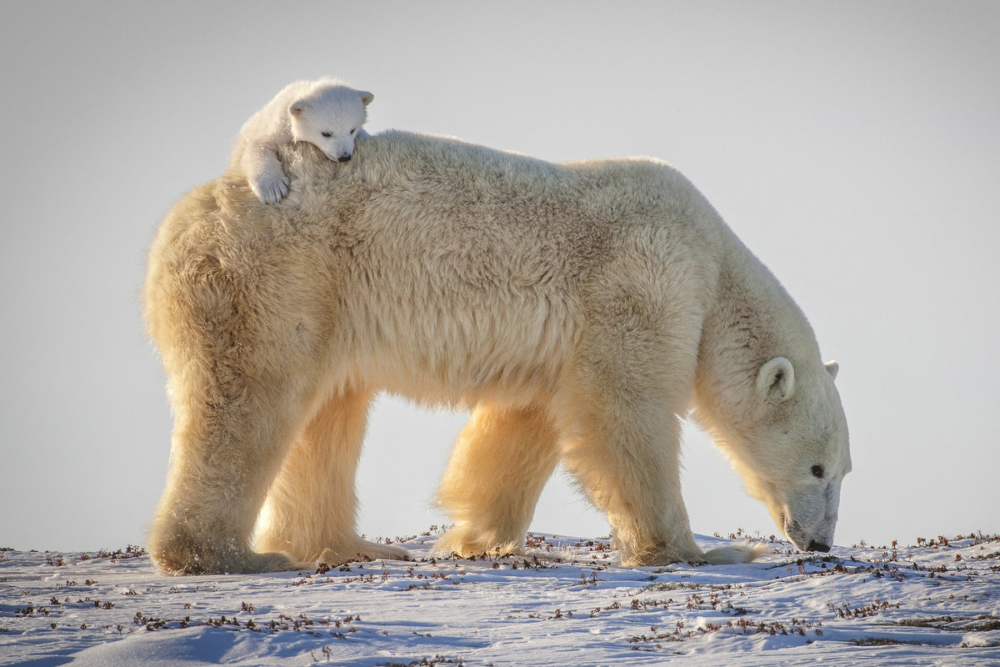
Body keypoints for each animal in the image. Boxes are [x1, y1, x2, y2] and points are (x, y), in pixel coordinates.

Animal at [145, 130, 852, 576]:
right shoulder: (646, 279)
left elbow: (524, 426)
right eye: (818, 468)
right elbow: (626, 415)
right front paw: (703, 553)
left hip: (323, 302)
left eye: (844, 470)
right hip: (276, 276)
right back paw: (229, 556)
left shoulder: (562, 339)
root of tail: (192, 213)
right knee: (250, 401)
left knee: (330, 412)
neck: (714, 260)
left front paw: (478, 536)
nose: (820, 542)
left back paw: (352, 545)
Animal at [232, 78, 374, 204]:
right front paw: (273, 189)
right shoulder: (277, 127)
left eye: (352, 130)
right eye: (326, 133)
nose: (344, 157)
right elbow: (258, 145)